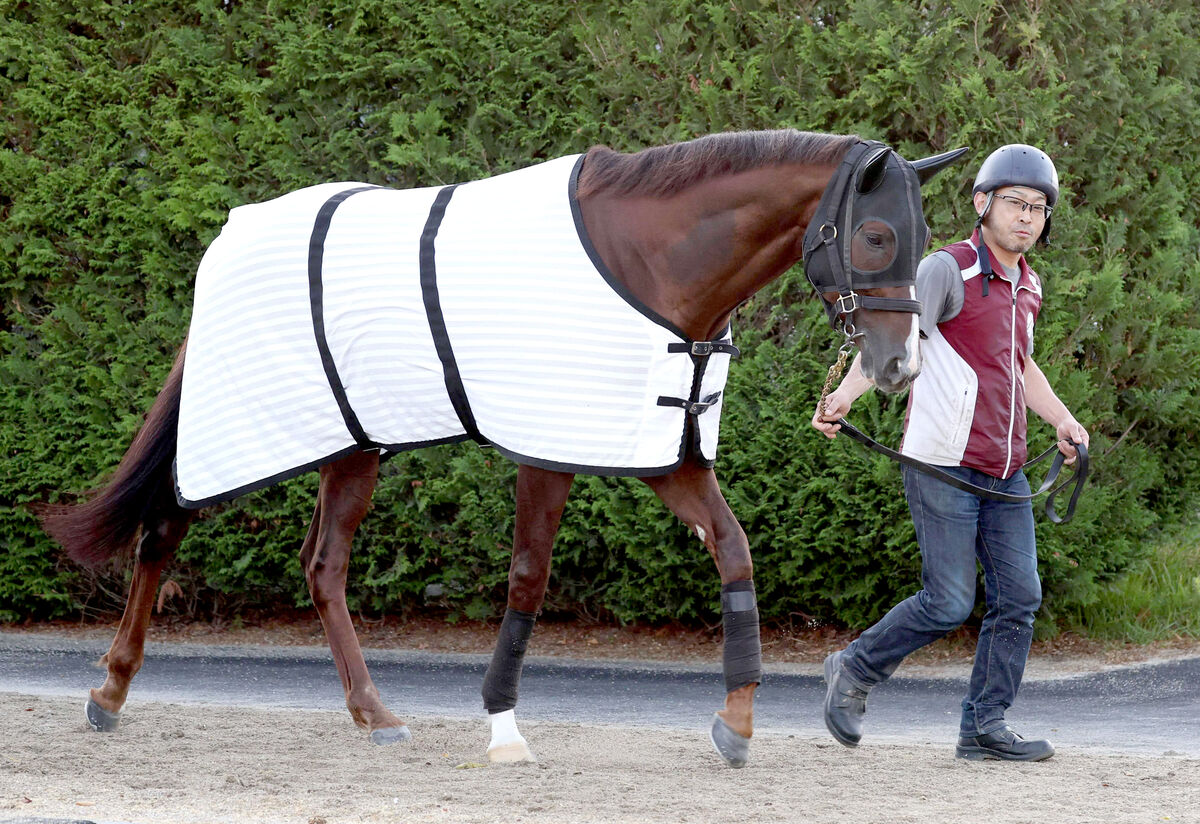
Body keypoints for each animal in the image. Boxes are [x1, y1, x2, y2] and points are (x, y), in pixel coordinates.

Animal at [37, 127, 964, 767]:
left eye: (923, 242)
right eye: (875, 237)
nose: (896, 368)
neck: (648, 263)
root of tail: (226, 240)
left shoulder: (665, 454)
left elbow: (734, 553)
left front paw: (734, 725)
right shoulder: (546, 452)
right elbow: (528, 577)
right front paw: (504, 728)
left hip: (355, 445)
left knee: (324, 566)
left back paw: (375, 715)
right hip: (239, 430)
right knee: (164, 532)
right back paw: (109, 690)